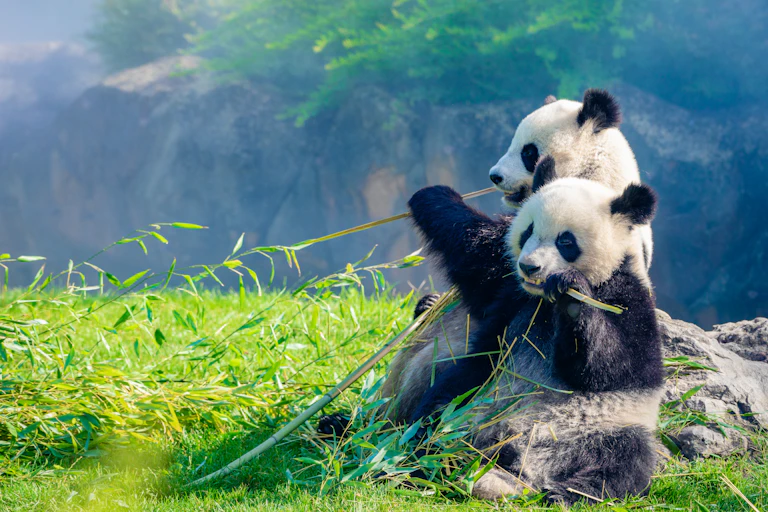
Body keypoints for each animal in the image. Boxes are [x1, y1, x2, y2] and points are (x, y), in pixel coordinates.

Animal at [395, 168, 663, 504]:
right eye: (527, 231)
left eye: (565, 240)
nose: (529, 266)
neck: (543, 302)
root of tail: (521, 464)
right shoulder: (511, 295)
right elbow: (476, 254)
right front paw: (433, 195)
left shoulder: (628, 296)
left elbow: (614, 366)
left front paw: (571, 296)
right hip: (473, 401)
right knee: (439, 410)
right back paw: (421, 457)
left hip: (606, 426)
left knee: (626, 460)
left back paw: (564, 492)